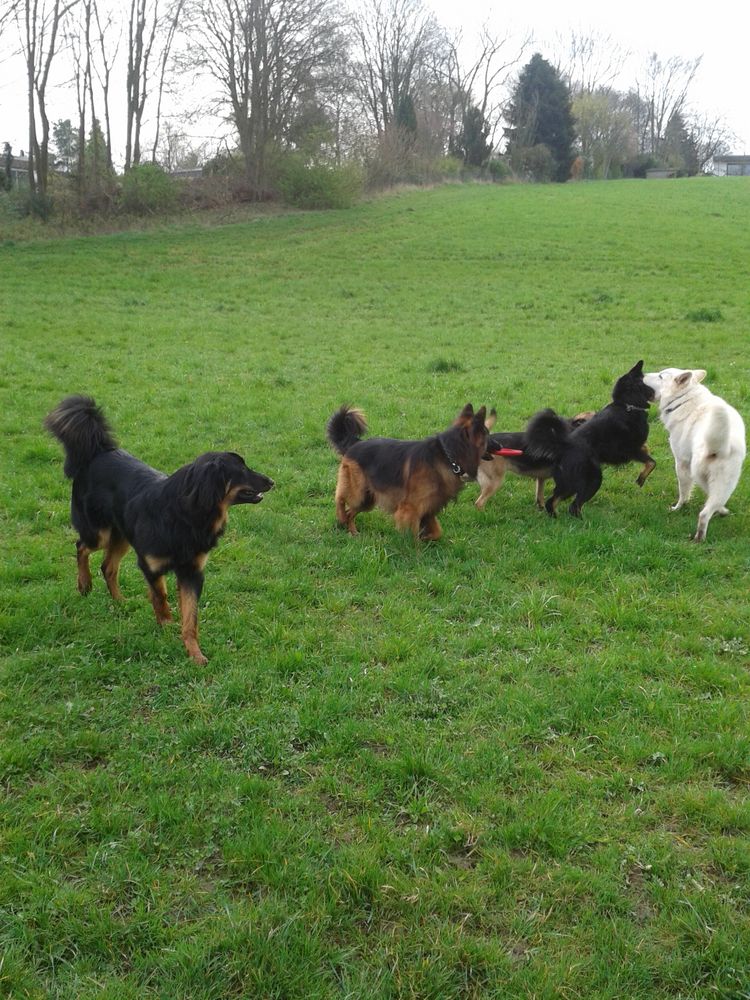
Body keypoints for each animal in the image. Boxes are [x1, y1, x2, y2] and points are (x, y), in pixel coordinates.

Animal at [44, 396, 274, 664]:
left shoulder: (192, 572)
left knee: (107, 566)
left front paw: (194, 653)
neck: (186, 515)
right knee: (81, 546)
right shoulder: (150, 564)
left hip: (121, 536)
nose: (272, 481)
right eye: (242, 469)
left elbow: (191, 617)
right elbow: (161, 595)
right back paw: (84, 584)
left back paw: (120, 601)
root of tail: (98, 451)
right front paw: (165, 622)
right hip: (99, 532)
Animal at [326, 402, 490, 540]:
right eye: (488, 436)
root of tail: (355, 443)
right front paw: (416, 553)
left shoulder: (429, 508)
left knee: (350, 513)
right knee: (340, 498)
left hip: (367, 499)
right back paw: (341, 517)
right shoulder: (411, 509)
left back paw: (351, 531)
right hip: (358, 492)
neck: (447, 455)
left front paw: (426, 538)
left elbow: (437, 532)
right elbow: (413, 538)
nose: (497, 442)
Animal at [524, 360, 656, 516]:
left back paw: (556, 517)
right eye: (646, 381)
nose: (657, 392)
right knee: (574, 505)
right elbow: (651, 462)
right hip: (593, 479)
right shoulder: (631, 450)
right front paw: (641, 478)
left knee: (553, 502)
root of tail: (562, 447)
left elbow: (647, 450)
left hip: (568, 484)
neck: (627, 405)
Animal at [644, 366, 748, 540]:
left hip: (700, 474)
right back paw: (720, 512)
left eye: (660, 376)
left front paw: (678, 507)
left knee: (704, 513)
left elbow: (684, 492)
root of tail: (722, 447)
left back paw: (699, 537)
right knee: (714, 502)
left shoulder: (681, 463)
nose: (642, 374)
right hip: (726, 482)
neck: (683, 399)